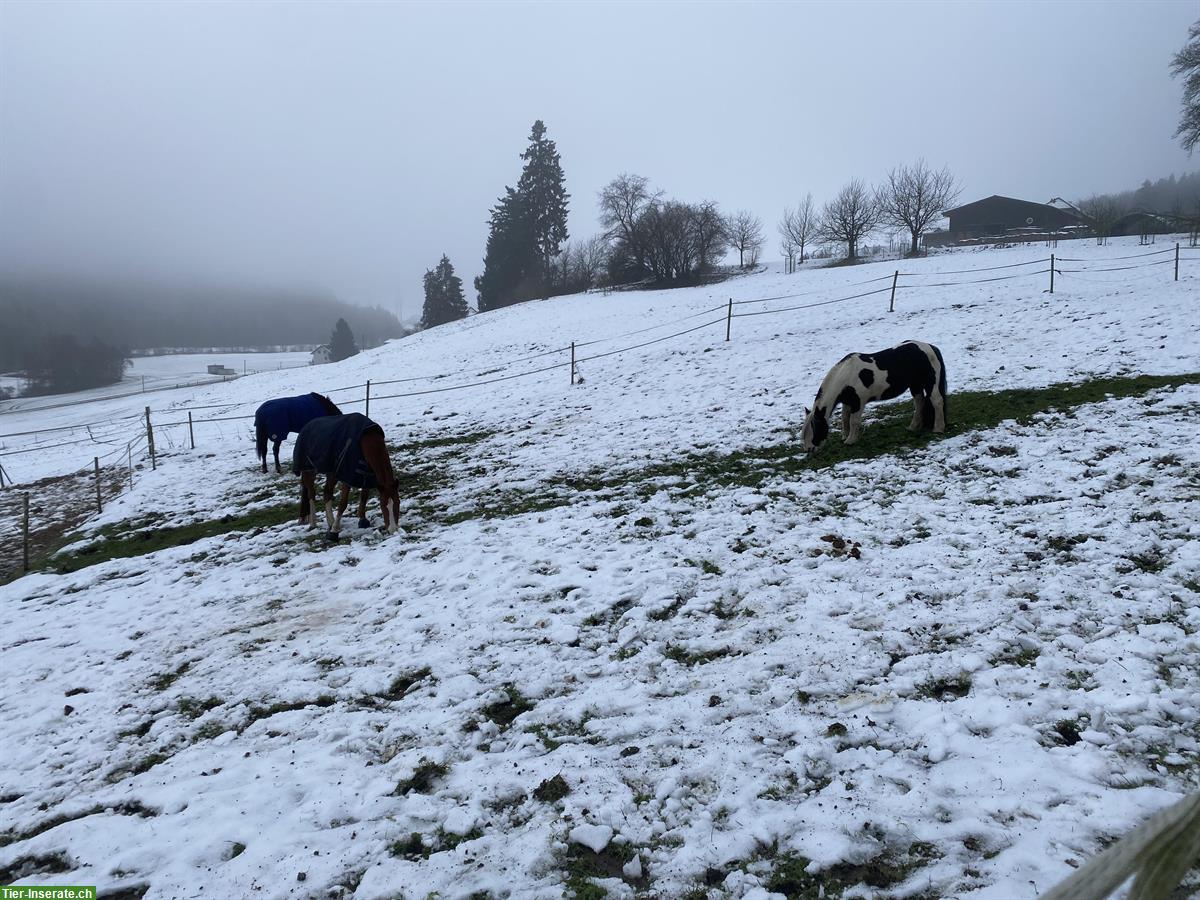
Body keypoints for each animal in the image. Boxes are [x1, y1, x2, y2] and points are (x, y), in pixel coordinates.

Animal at [806, 340, 945, 451]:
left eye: (816, 429)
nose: (809, 450)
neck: (846, 375)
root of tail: (930, 347)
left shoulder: (858, 403)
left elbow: (853, 421)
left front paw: (850, 441)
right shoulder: (848, 401)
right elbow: (844, 418)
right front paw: (845, 436)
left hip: (930, 383)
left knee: (937, 401)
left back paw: (938, 429)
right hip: (915, 386)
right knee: (920, 403)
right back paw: (913, 427)